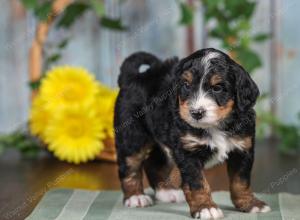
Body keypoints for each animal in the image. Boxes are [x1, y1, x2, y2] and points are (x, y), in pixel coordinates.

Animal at [113, 47, 270, 218]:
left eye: (217, 88)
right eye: (186, 85)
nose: (196, 113)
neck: (215, 126)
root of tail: (133, 77)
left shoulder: (242, 148)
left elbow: (241, 181)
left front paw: (250, 204)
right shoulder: (189, 152)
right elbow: (198, 184)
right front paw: (205, 208)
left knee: (153, 163)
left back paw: (166, 192)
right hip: (132, 136)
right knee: (129, 167)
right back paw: (135, 197)